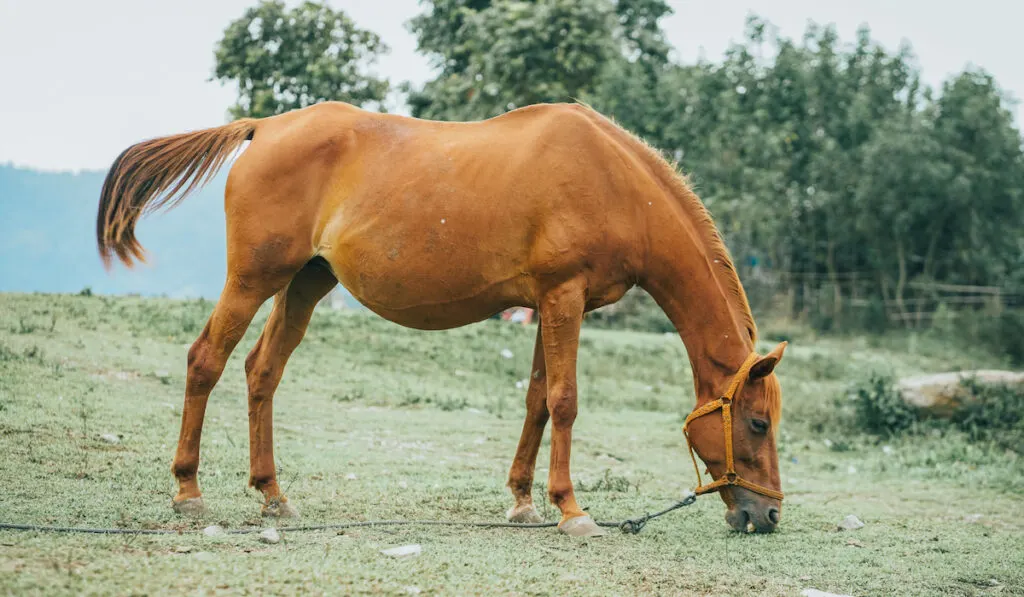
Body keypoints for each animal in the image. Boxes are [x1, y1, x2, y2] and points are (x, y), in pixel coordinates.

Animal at [96, 100, 786, 540]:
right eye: (757, 422)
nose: (768, 517)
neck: (613, 181)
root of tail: (262, 127)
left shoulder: (552, 304)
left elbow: (536, 399)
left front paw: (522, 502)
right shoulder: (564, 298)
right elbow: (564, 401)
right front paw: (571, 509)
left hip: (304, 284)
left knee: (261, 372)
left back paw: (273, 494)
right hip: (253, 280)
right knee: (205, 361)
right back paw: (188, 492)